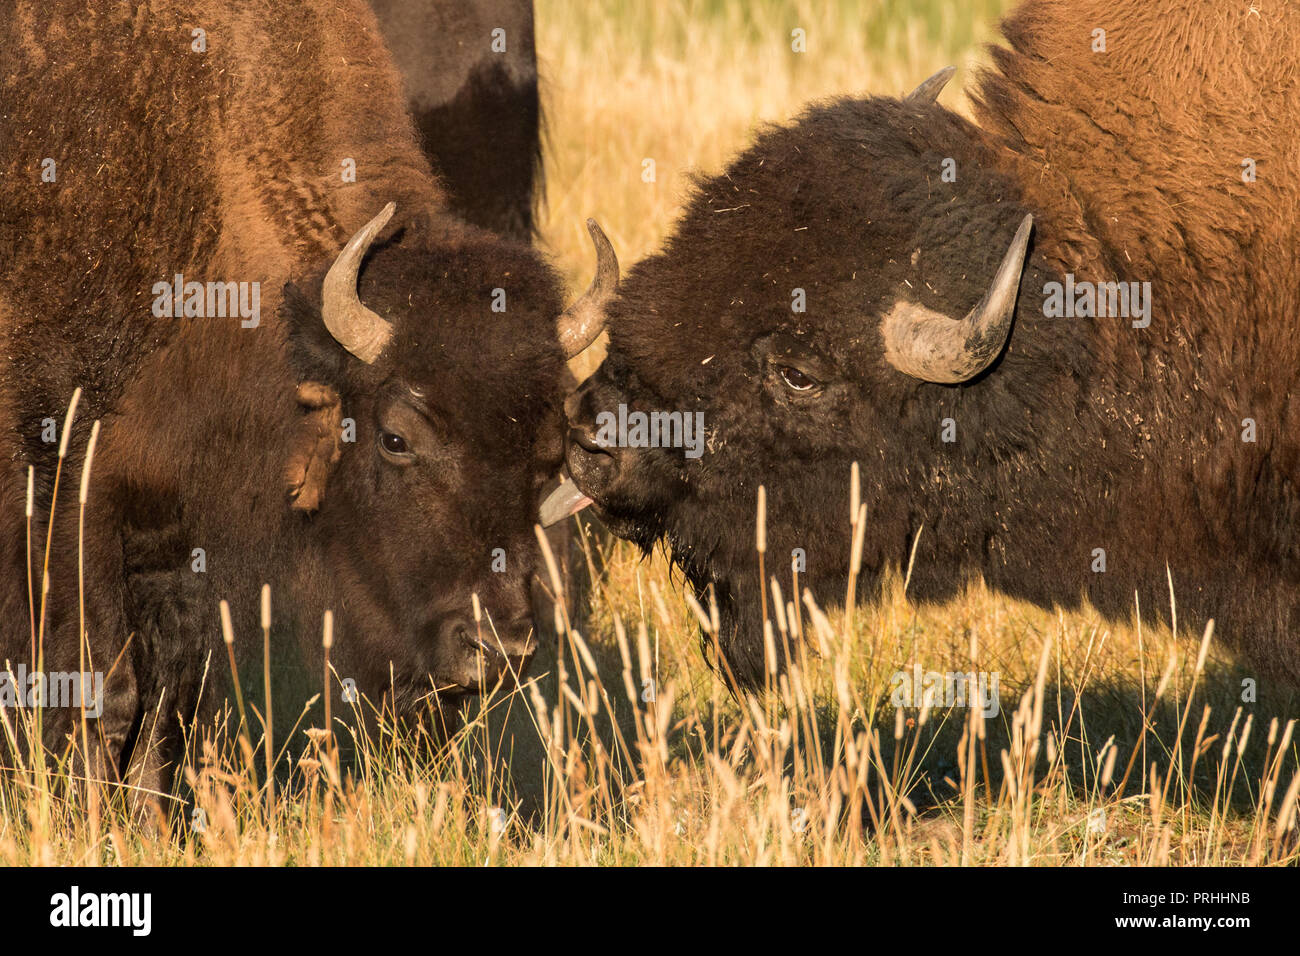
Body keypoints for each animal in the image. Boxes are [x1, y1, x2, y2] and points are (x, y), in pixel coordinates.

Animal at [0, 0, 613, 790]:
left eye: (547, 453)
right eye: (396, 438)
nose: (497, 647)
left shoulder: (186, 543)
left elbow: (170, 703)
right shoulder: (75, 501)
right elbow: (107, 692)